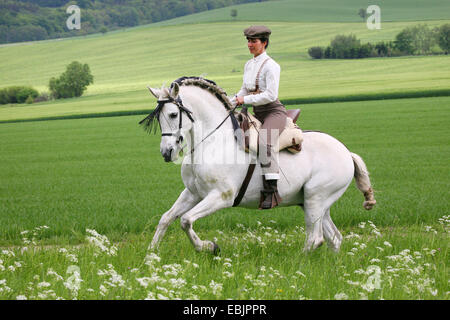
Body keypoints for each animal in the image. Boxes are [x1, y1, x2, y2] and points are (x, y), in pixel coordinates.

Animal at [142, 76, 376, 254]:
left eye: (173, 114)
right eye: (159, 118)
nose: (167, 152)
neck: (212, 142)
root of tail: (346, 152)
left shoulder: (221, 197)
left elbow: (186, 220)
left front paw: (210, 247)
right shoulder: (193, 193)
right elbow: (166, 218)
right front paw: (150, 255)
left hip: (316, 198)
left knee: (315, 238)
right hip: (314, 203)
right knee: (334, 238)